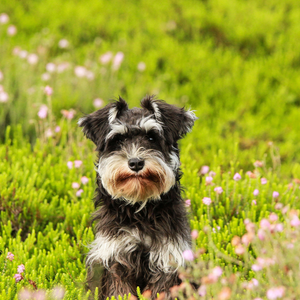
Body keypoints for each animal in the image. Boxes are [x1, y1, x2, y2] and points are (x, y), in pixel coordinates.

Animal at [78, 96, 198, 300]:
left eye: (151, 137)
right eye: (118, 139)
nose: (135, 163)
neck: (140, 208)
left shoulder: (168, 259)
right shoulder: (115, 258)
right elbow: (120, 292)